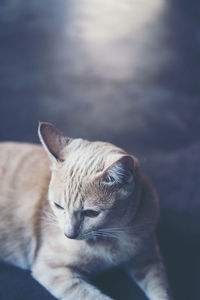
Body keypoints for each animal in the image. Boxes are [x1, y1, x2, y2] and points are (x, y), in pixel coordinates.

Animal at [0, 122, 172, 300]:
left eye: (91, 213)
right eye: (58, 206)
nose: (69, 234)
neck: (115, 235)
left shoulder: (147, 258)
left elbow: (160, 288)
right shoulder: (52, 269)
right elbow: (93, 296)